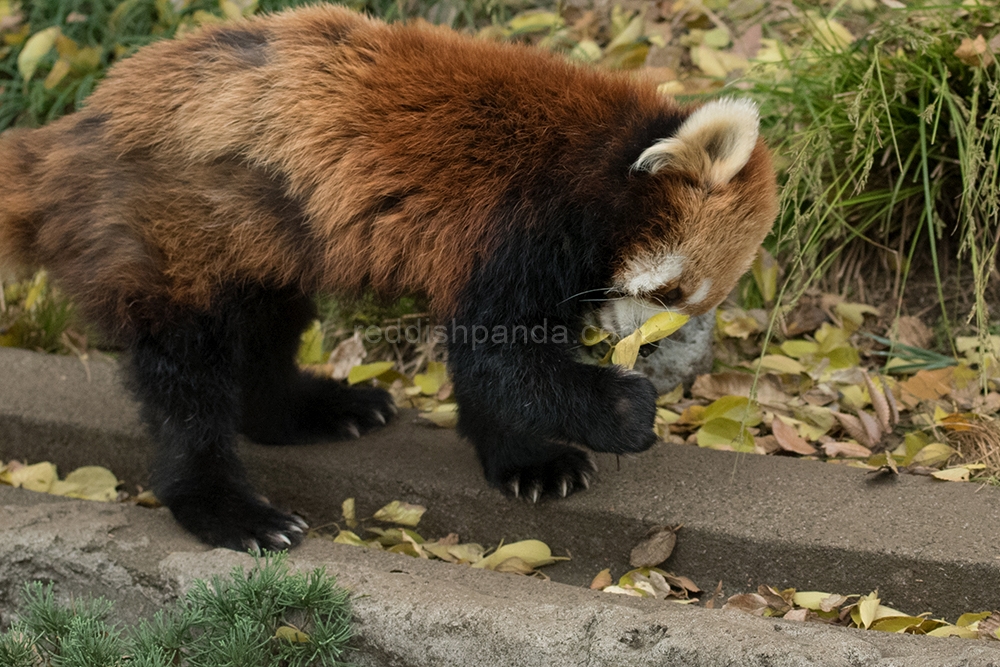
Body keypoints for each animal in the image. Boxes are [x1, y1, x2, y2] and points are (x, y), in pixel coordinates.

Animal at [0, 5, 776, 552]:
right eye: (669, 294)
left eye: (697, 305)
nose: (665, 352)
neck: (595, 159)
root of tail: (73, 134)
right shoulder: (514, 223)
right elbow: (500, 358)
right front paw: (622, 411)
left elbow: (493, 373)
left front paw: (525, 463)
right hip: (166, 233)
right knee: (186, 382)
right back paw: (228, 510)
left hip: (261, 237)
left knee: (263, 333)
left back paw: (310, 411)